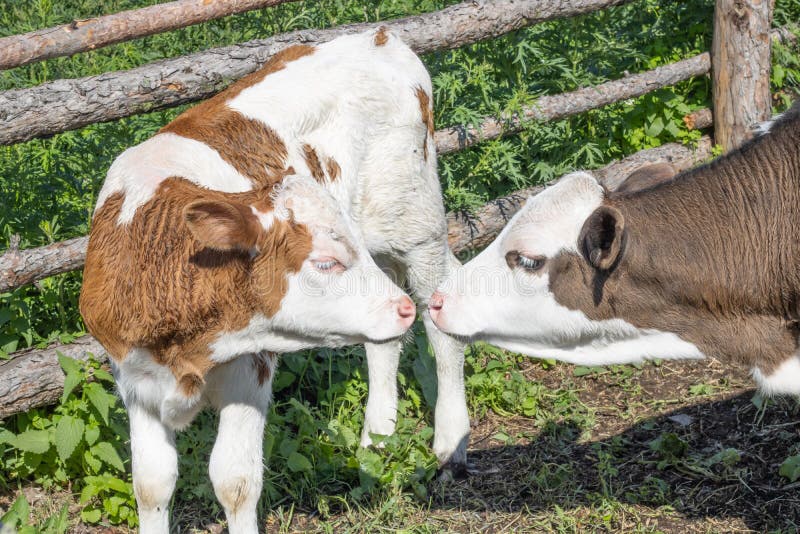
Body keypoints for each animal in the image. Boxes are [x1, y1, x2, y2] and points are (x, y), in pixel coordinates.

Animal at [79, 28, 470, 533]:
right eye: (325, 262)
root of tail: (379, 36)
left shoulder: (252, 366)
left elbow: (235, 481)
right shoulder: (133, 378)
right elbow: (152, 483)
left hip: (417, 226)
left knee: (442, 315)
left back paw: (450, 445)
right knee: (385, 335)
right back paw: (377, 438)